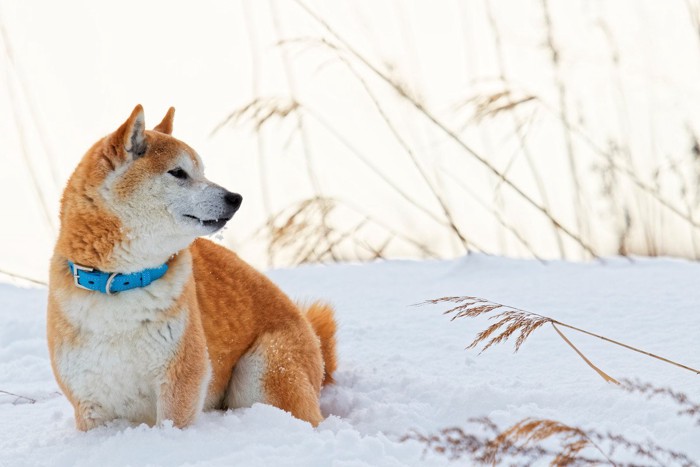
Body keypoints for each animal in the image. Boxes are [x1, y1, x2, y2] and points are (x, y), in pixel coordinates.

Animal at [46, 106, 336, 432]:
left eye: (201, 172)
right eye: (178, 172)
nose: (235, 198)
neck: (123, 281)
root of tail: (313, 338)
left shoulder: (181, 379)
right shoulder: (89, 403)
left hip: (264, 371)